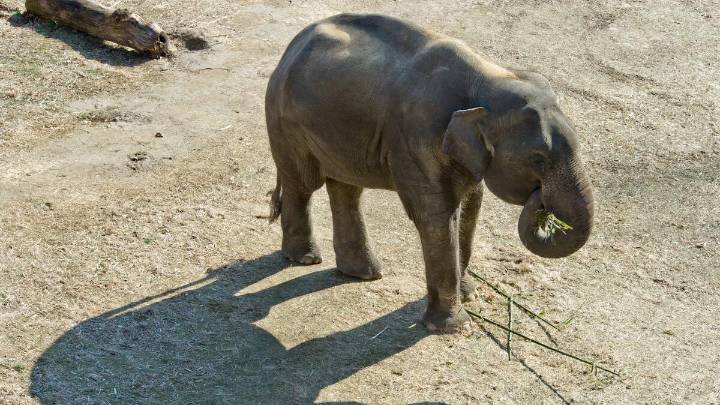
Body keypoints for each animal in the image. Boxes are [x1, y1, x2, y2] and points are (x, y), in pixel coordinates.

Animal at [264, 14, 594, 333]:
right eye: (538, 159)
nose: (541, 201)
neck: (488, 79)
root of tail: (293, 44)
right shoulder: (417, 137)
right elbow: (437, 216)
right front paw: (455, 327)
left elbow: (471, 207)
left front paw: (468, 294)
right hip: (285, 121)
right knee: (303, 183)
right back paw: (306, 258)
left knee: (346, 188)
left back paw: (362, 273)